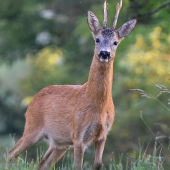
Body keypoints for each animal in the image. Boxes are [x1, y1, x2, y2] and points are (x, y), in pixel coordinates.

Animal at [8, 0, 137, 169]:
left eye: (115, 42)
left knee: (41, 164)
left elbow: (97, 164)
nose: (104, 53)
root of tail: (32, 100)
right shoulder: (78, 134)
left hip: (59, 143)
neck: (98, 106)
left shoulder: (103, 134)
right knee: (10, 154)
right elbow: (78, 165)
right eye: (97, 39)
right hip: (32, 127)